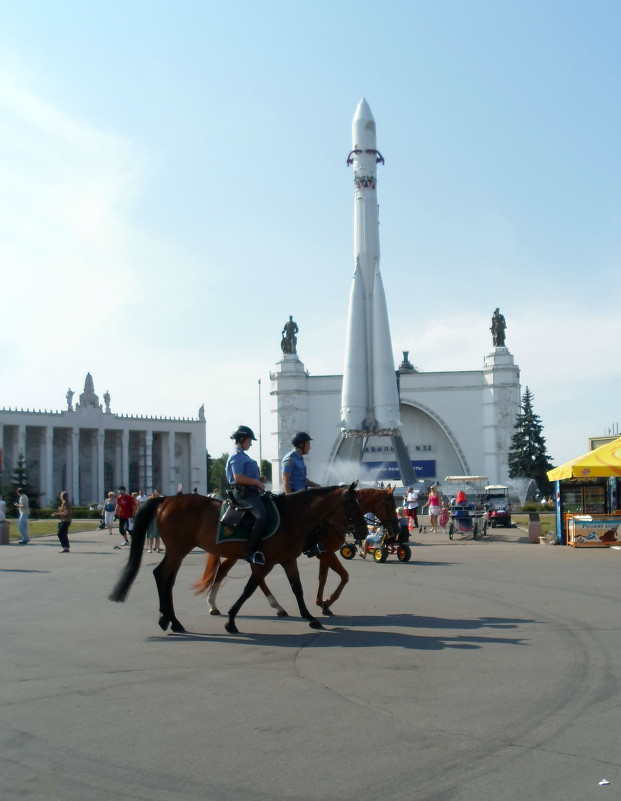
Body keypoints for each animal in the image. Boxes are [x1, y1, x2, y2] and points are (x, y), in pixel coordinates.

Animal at [109, 482, 366, 632]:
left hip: (178, 551)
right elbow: (249, 589)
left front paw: (310, 616)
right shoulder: (266, 562)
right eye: (353, 504)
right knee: (162, 575)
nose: (364, 531)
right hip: (178, 549)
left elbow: (297, 588)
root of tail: (168, 498)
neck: (292, 516)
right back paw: (172, 620)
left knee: (166, 578)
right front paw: (231, 620)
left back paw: (170, 620)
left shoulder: (287, 560)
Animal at [191, 484, 400, 616]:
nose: (397, 530)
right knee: (228, 571)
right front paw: (327, 602)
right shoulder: (326, 552)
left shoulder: (323, 553)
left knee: (237, 573)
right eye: (391, 504)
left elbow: (323, 578)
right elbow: (344, 576)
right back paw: (214, 604)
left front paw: (321, 603)